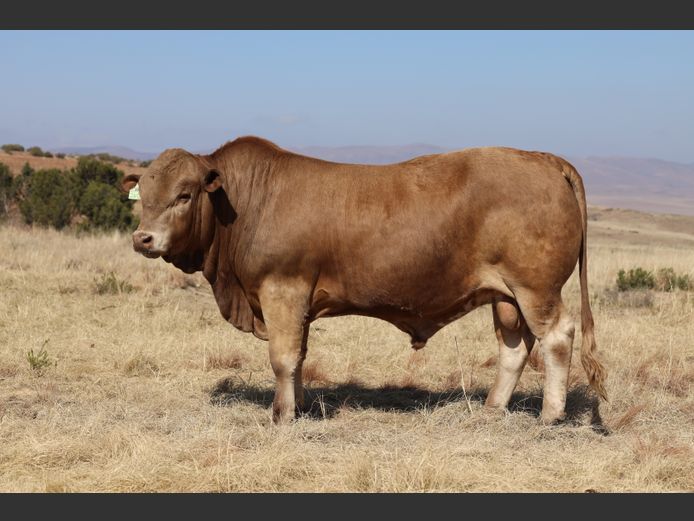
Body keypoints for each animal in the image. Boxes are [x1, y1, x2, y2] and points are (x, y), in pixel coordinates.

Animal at [122, 136, 607, 425]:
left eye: (184, 195)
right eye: (144, 195)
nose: (143, 238)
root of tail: (542, 158)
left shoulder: (282, 291)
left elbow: (282, 358)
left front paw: (281, 415)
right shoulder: (298, 303)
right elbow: (299, 357)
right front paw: (299, 406)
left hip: (536, 290)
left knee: (557, 337)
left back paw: (550, 415)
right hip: (506, 297)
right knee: (514, 346)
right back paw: (491, 408)